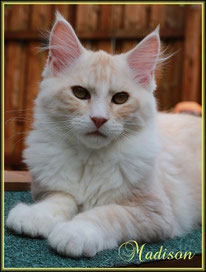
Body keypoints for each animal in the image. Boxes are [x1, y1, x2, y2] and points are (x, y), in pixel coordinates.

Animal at [6, 11, 201, 258]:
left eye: (120, 98)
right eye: (80, 93)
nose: (99, 119)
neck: (90, 159)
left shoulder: (152, 211)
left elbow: (105, 214)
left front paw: (74, 233)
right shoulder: (50, 189)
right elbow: (60, 200)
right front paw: (34, 216)